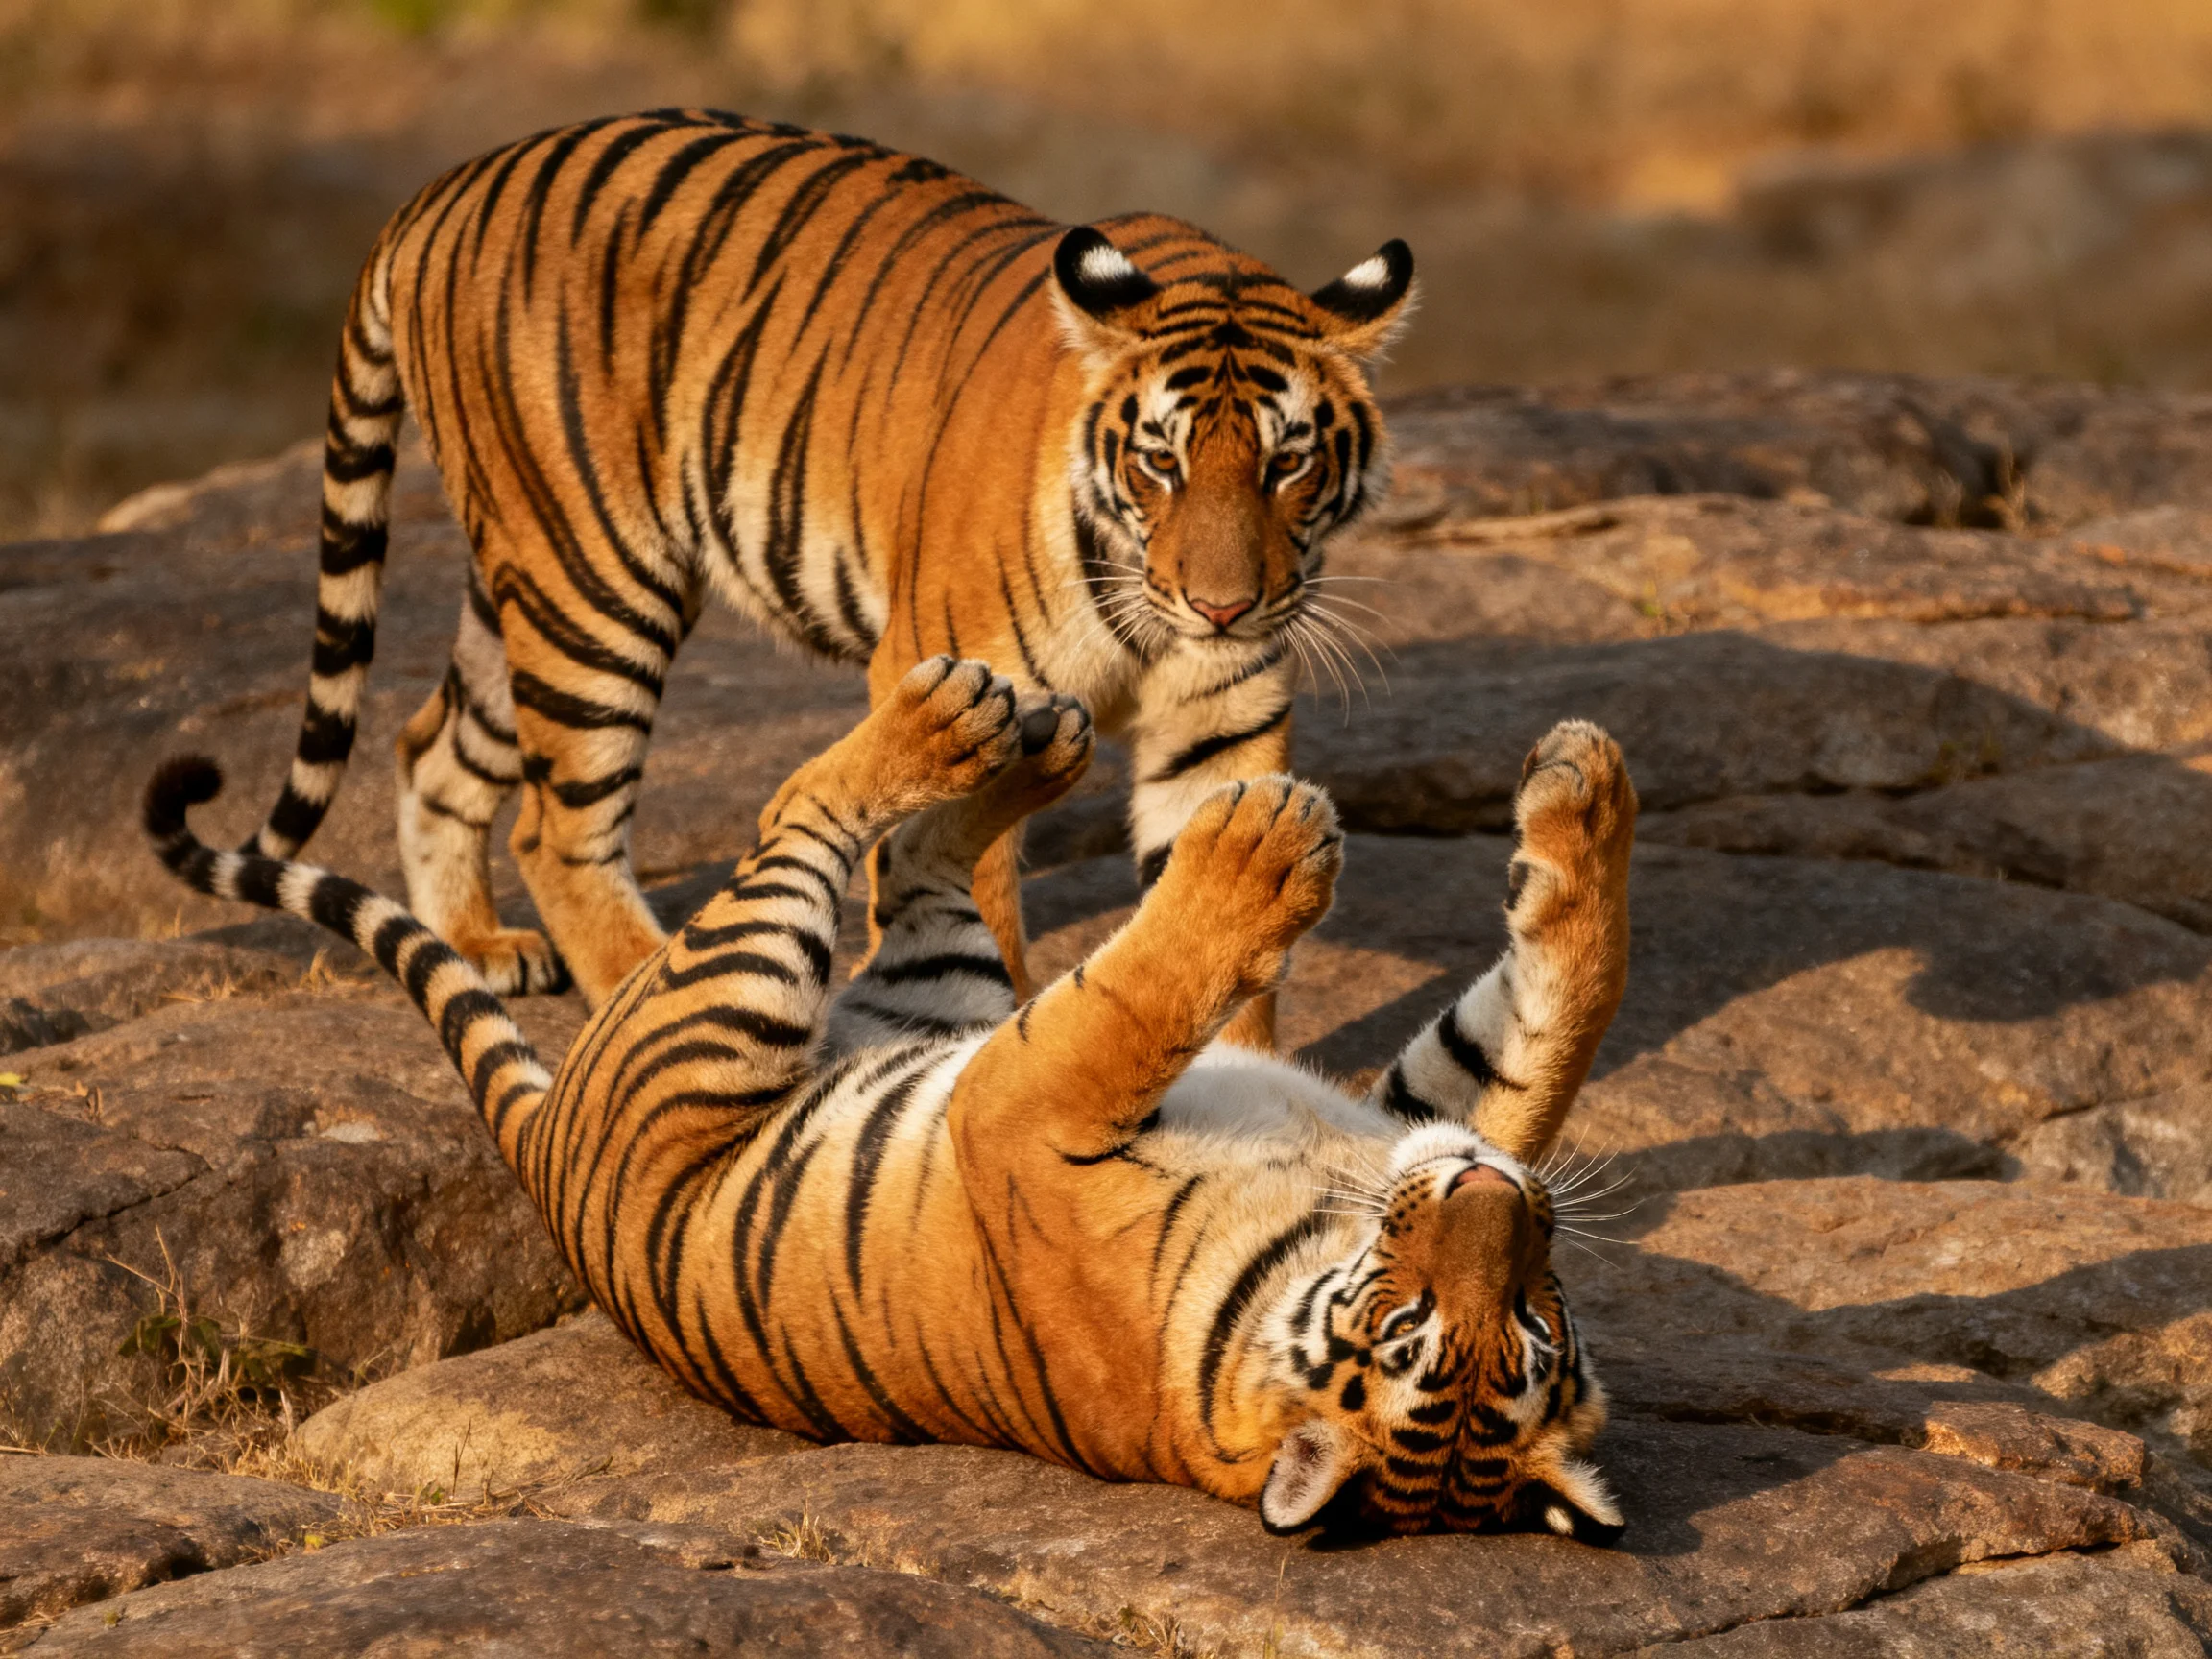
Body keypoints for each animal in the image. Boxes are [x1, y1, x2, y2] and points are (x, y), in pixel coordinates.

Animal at [147, 658, 1638, 1539]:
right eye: (1441, 1323)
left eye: (1500, 1330)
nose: (1497, 1202)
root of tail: (551, 1136)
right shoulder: (1404, 1122)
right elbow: (1553, 1020)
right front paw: (1588, 790)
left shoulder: (1019, 1105)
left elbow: (1133, 996)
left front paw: (1263, 847)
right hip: (928, 981)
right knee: (905, 847)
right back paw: (1029, 731)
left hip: (730, 1000)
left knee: (814, 818)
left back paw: (976, 724)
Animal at [248, 106, 1416, 1034]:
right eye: (1160, 462)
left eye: (1287, 462)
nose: (1222, 607)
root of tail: (446, 186)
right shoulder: (970, 681)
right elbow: (973, 911)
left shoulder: (1220, 726)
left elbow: (1224, 923)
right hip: (594, 584)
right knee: (557, 828)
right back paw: (639, 1002)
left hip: (522, 586)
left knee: (430, 750)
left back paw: (484, 948)